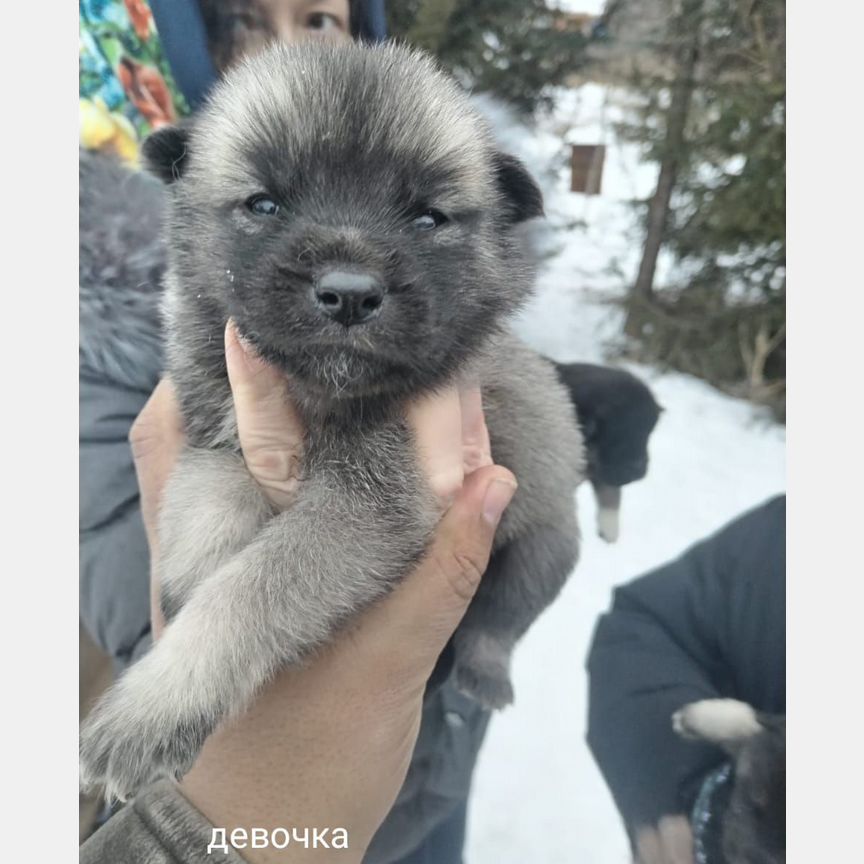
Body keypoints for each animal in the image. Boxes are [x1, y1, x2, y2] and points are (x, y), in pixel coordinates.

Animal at [79, 44, 588, 804]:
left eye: (427, 218)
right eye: (264, 203)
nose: (349, 295)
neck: (319, 393)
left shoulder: (371, 503)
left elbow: (251, 591)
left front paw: (157, 705)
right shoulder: (216, 437)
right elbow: (208, 510)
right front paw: (185, 581)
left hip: (545, 546)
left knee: (500, 622)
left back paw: (482, 674)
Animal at [552, 362, 660, 540]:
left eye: (648, 435)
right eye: (618, 437)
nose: (638, 472)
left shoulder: (601, 470)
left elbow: (611, 490)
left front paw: (609, 527)